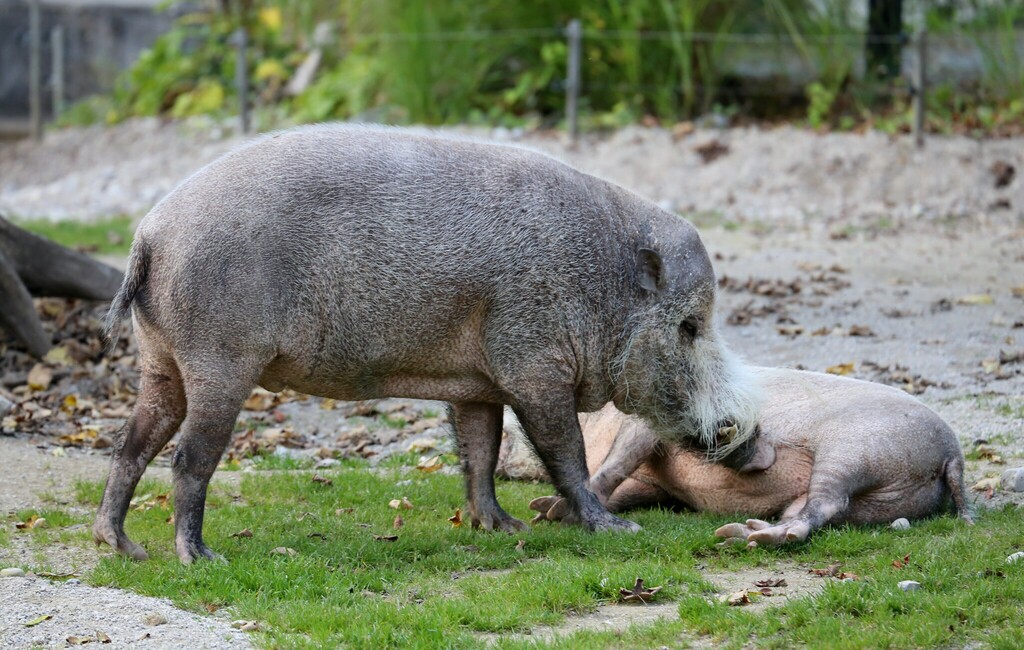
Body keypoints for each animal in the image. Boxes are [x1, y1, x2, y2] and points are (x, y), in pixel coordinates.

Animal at [95, 125, 761, 563]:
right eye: (690, 326)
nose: (753, 442)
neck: (599, 284)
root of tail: (148, 236)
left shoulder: (477, 383)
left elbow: (481, 450)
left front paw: (504, 528)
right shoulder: (534, 366)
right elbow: (565, 449)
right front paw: (615, 532)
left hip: (161, 362)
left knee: (132, 443)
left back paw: (123, 548)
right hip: (220, 363)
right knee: (187, 457)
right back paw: (199, 559)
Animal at [518, 367, 972, 545]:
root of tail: (952, 453)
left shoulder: (647, 426)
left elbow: (619, 462)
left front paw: (549, 512)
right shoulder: (655, 484)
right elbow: (631, 488)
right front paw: (542, 508)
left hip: (856, 447)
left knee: (827, 501)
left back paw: (755, 537)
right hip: (883, 499)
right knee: (817, 510)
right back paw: (742, 532)